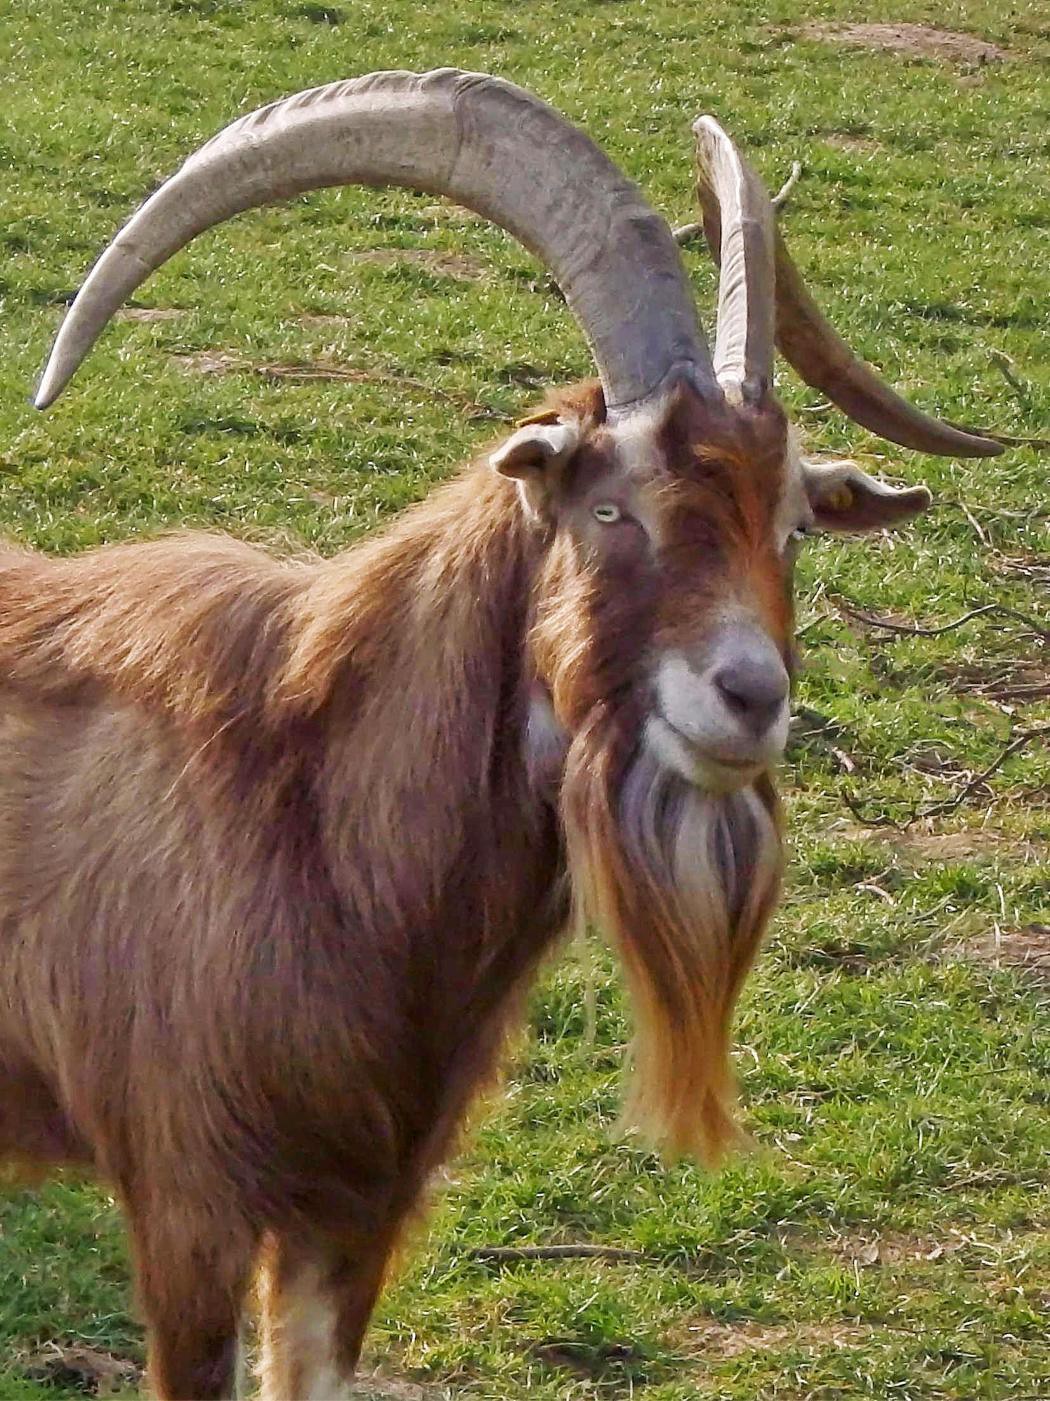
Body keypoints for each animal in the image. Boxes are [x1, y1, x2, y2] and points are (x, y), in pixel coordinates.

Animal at [2, 68, 998, 1401]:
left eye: (790, 523)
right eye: (609, 505)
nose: (750, 698)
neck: (307, 804)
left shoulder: (356, 1206)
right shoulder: (186, 1202)